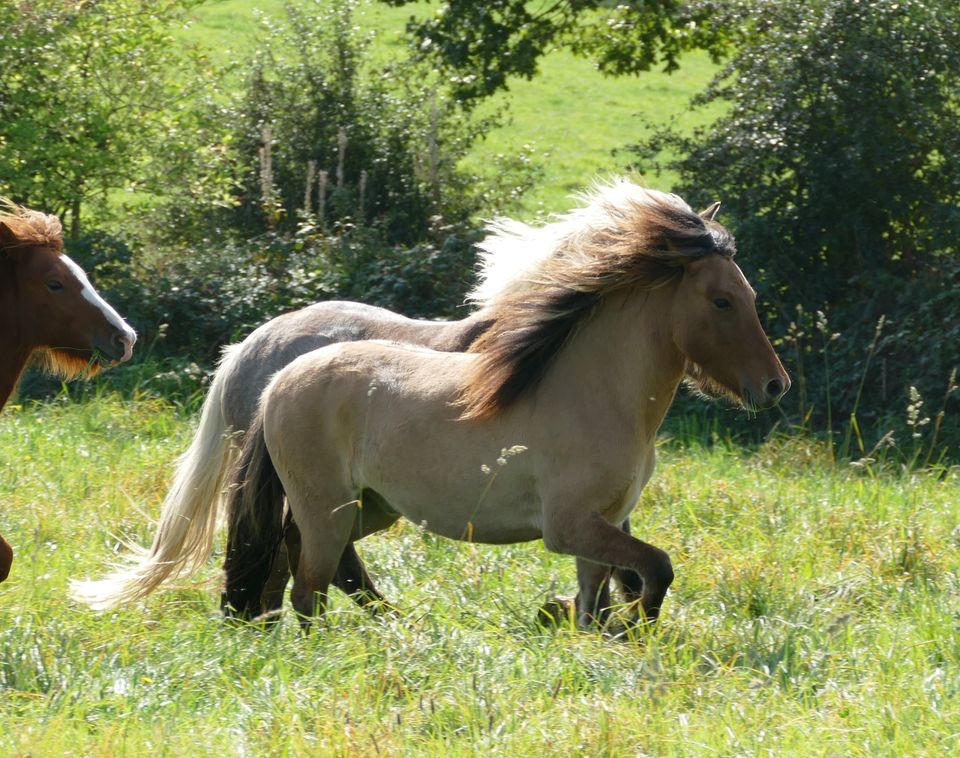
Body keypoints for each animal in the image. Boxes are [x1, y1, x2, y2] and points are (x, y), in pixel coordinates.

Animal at [223, 183, 788, 628]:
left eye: (749, 295)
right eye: (722, 301)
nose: (774, 385)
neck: (596, 398)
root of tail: (277, 381)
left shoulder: (600, 525)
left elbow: (597, 598)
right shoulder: (568, 526)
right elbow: (655, 568)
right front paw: (640, 631)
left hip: (370, 508)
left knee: (297, 556)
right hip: (329, 509)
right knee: (310, 587)